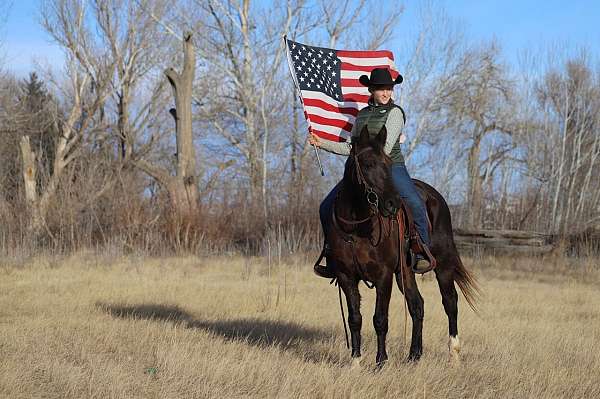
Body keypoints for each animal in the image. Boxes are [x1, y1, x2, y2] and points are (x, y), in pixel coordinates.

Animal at [324, 125, 478, 368]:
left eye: (388, 163)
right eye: (368, 164)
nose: (392, 203)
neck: (356, 228)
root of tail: (436, 196)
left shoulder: (383, 275)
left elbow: (380, 319)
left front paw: (380, 362)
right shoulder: (346, 275)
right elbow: (355, 318)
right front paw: (356, 362)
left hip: (443, 264)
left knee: (450, 302)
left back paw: (454, 354)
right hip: (405, 272)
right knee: (417, 305)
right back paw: (414, 354)